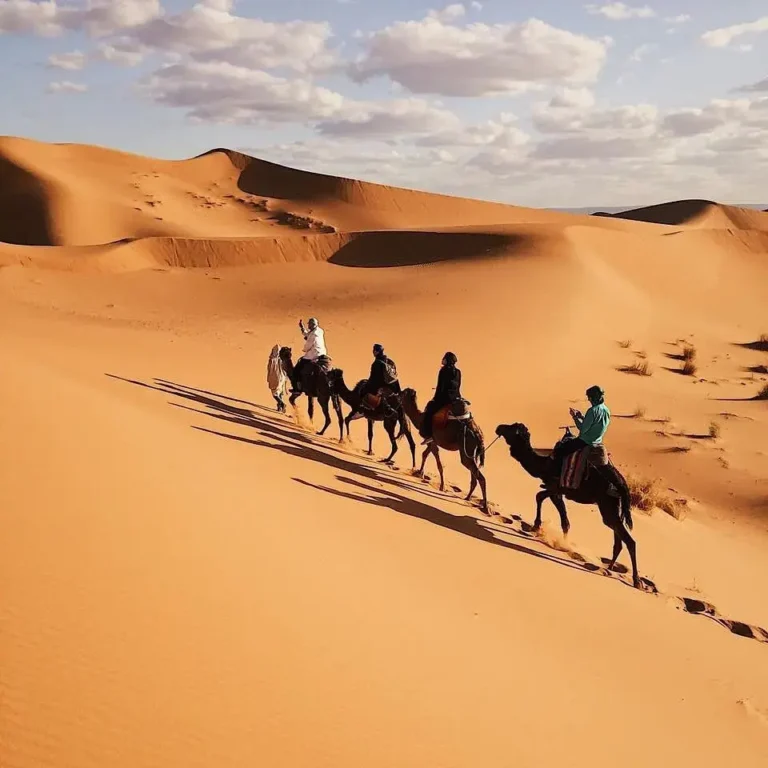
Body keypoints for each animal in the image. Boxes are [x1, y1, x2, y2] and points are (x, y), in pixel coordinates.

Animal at [496, 424, 640, 592]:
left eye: (511, 428)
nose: (499, 427)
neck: (544, 464)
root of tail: (623, 483)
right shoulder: (557, 490)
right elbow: (561, 516)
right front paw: (563, 541)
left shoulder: (555, 487)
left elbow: (540, 496)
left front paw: (538, 527)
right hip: (614, 507)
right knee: (618, 537)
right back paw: (609, 568)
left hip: (607, 506)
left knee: (629, 540)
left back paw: (636, 581)